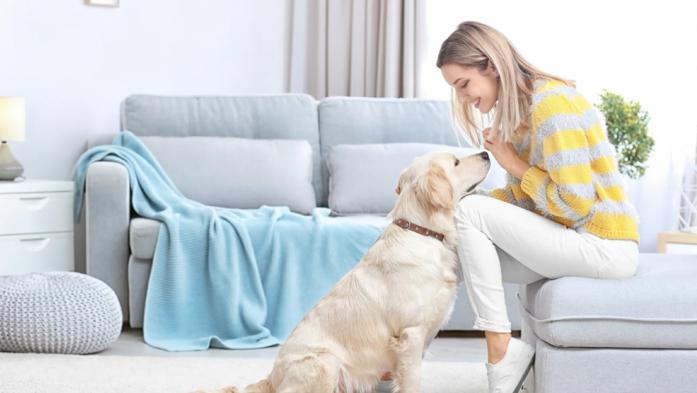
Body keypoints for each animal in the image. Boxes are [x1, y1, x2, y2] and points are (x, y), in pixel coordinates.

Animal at [196, 150, 490, 392]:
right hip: (325, 362)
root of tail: (272, 379)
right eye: (456, 162)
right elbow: (412, 382)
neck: (422, 232)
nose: (486, 153)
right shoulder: (411, 336)